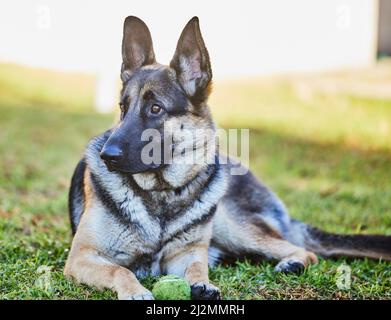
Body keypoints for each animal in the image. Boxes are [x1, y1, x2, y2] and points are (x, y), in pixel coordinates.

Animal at [65, 15, 391, 300]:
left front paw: (202, 283)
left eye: (156, 108)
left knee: (303, 250)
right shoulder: (81, 256)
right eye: (123, 107)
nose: (107, 155)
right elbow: (121, 271)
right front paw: (136, 291)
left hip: (230, 224)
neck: (162, 193)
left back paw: (292, 262)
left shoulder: (186, 254)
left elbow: (197, 266)